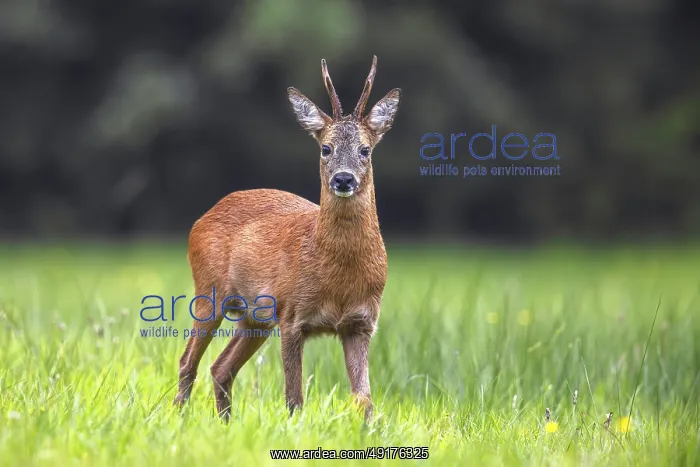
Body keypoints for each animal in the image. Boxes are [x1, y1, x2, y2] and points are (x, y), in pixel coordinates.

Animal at [173, 55, 401, 423]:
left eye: (365, 150)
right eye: (326, 148)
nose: (343, 179)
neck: (338, 276)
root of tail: (205, 215)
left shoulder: (361, 324)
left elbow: (364, 400)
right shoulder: (293, 316)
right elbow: (294, 399)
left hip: (255, 317)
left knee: (220, 367)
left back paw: (225, 423)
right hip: (209, 292)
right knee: (187, 361)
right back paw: (179, 419)